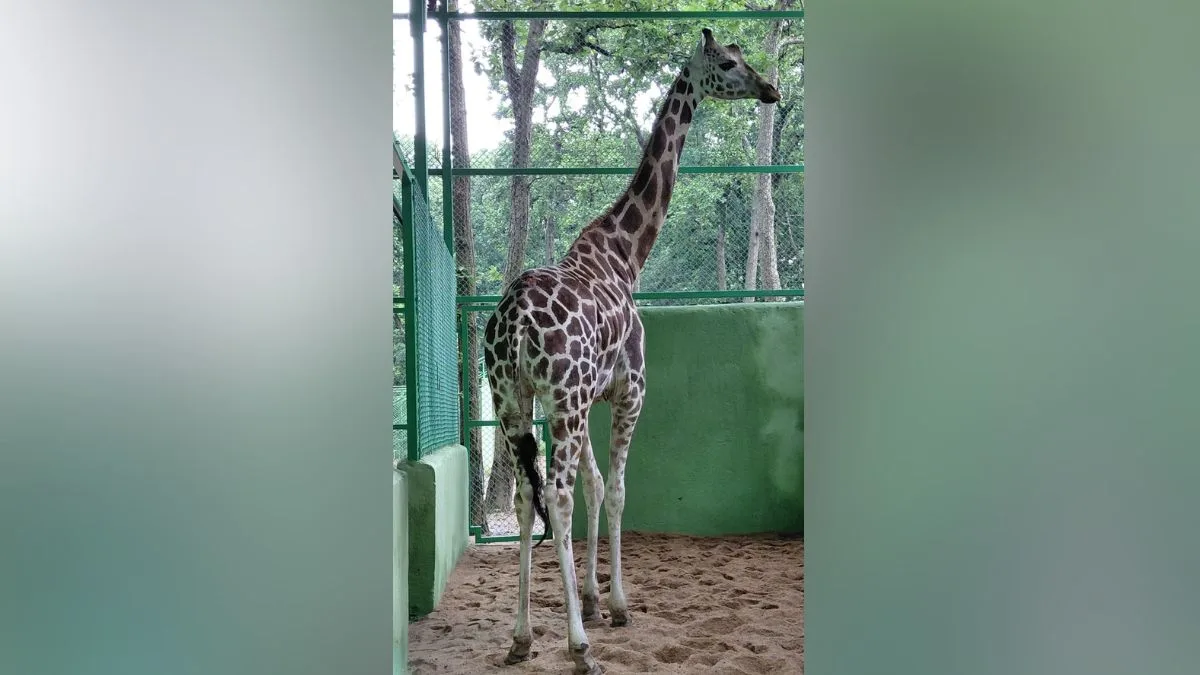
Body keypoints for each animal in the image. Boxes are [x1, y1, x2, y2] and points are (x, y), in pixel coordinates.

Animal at [482, 28, 781, 675]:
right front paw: (616, 606)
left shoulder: (590, 395)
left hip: (512, 399)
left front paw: (596, 599)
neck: (626, 253)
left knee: (525, 496)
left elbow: (597, 485)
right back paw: (578, 648)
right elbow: (617, 489)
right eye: (729, 63)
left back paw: (521, 637)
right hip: (560, 400)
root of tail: (512, 323)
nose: (770, 88)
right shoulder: (630, 390)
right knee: (557, 496)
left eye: (744, 58)